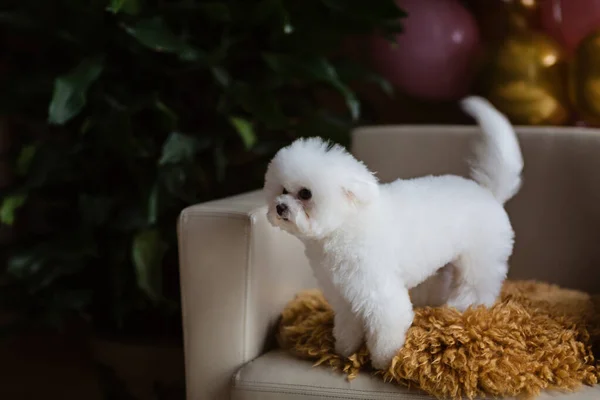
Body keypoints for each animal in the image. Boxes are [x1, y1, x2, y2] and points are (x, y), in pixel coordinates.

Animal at [264, 96, 524, 368]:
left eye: (305, 193)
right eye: (283, 190)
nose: (280, 207)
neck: (344, 225)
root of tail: (488, 193)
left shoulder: (380, 293)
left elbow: (386, 330)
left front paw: (384, 361)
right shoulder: (344, 294)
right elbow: (347, 325)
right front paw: (345, 351)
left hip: (479, 261)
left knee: (477, 288)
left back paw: (463, 309)